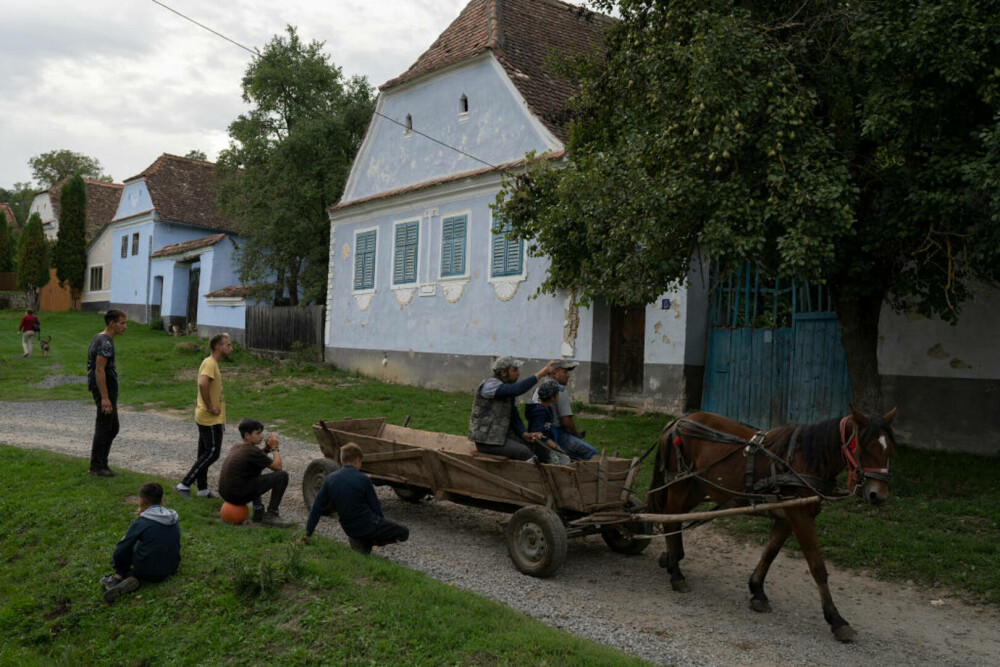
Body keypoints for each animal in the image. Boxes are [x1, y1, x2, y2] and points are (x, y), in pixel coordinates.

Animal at [648, 408, 900, 640]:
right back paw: (676, 573)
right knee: (670, 520)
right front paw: (836, 619)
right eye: (864, 448)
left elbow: (769, 553)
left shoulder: (786, 517)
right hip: (679, 484)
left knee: (675, 519)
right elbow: (817, 567)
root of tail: (677, 422)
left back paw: (672, 558)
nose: (878, 495)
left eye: (889, 449)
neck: (802, 461)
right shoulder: (800, 516)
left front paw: (757, 590)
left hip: (697, 488)